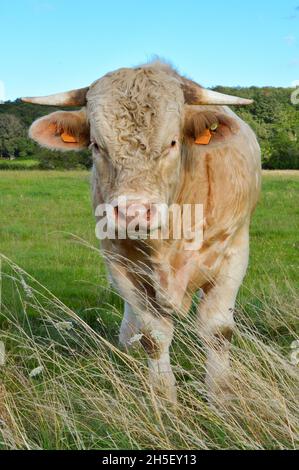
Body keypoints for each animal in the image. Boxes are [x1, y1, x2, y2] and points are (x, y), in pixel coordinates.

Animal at [23, 60, 262, 402]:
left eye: (173, 142)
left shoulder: (233, 254)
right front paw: (163, 398)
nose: (133, 212)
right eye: (97, 145)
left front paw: (221, 395)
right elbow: (154, 335)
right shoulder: (119, 263)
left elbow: (217, 331)